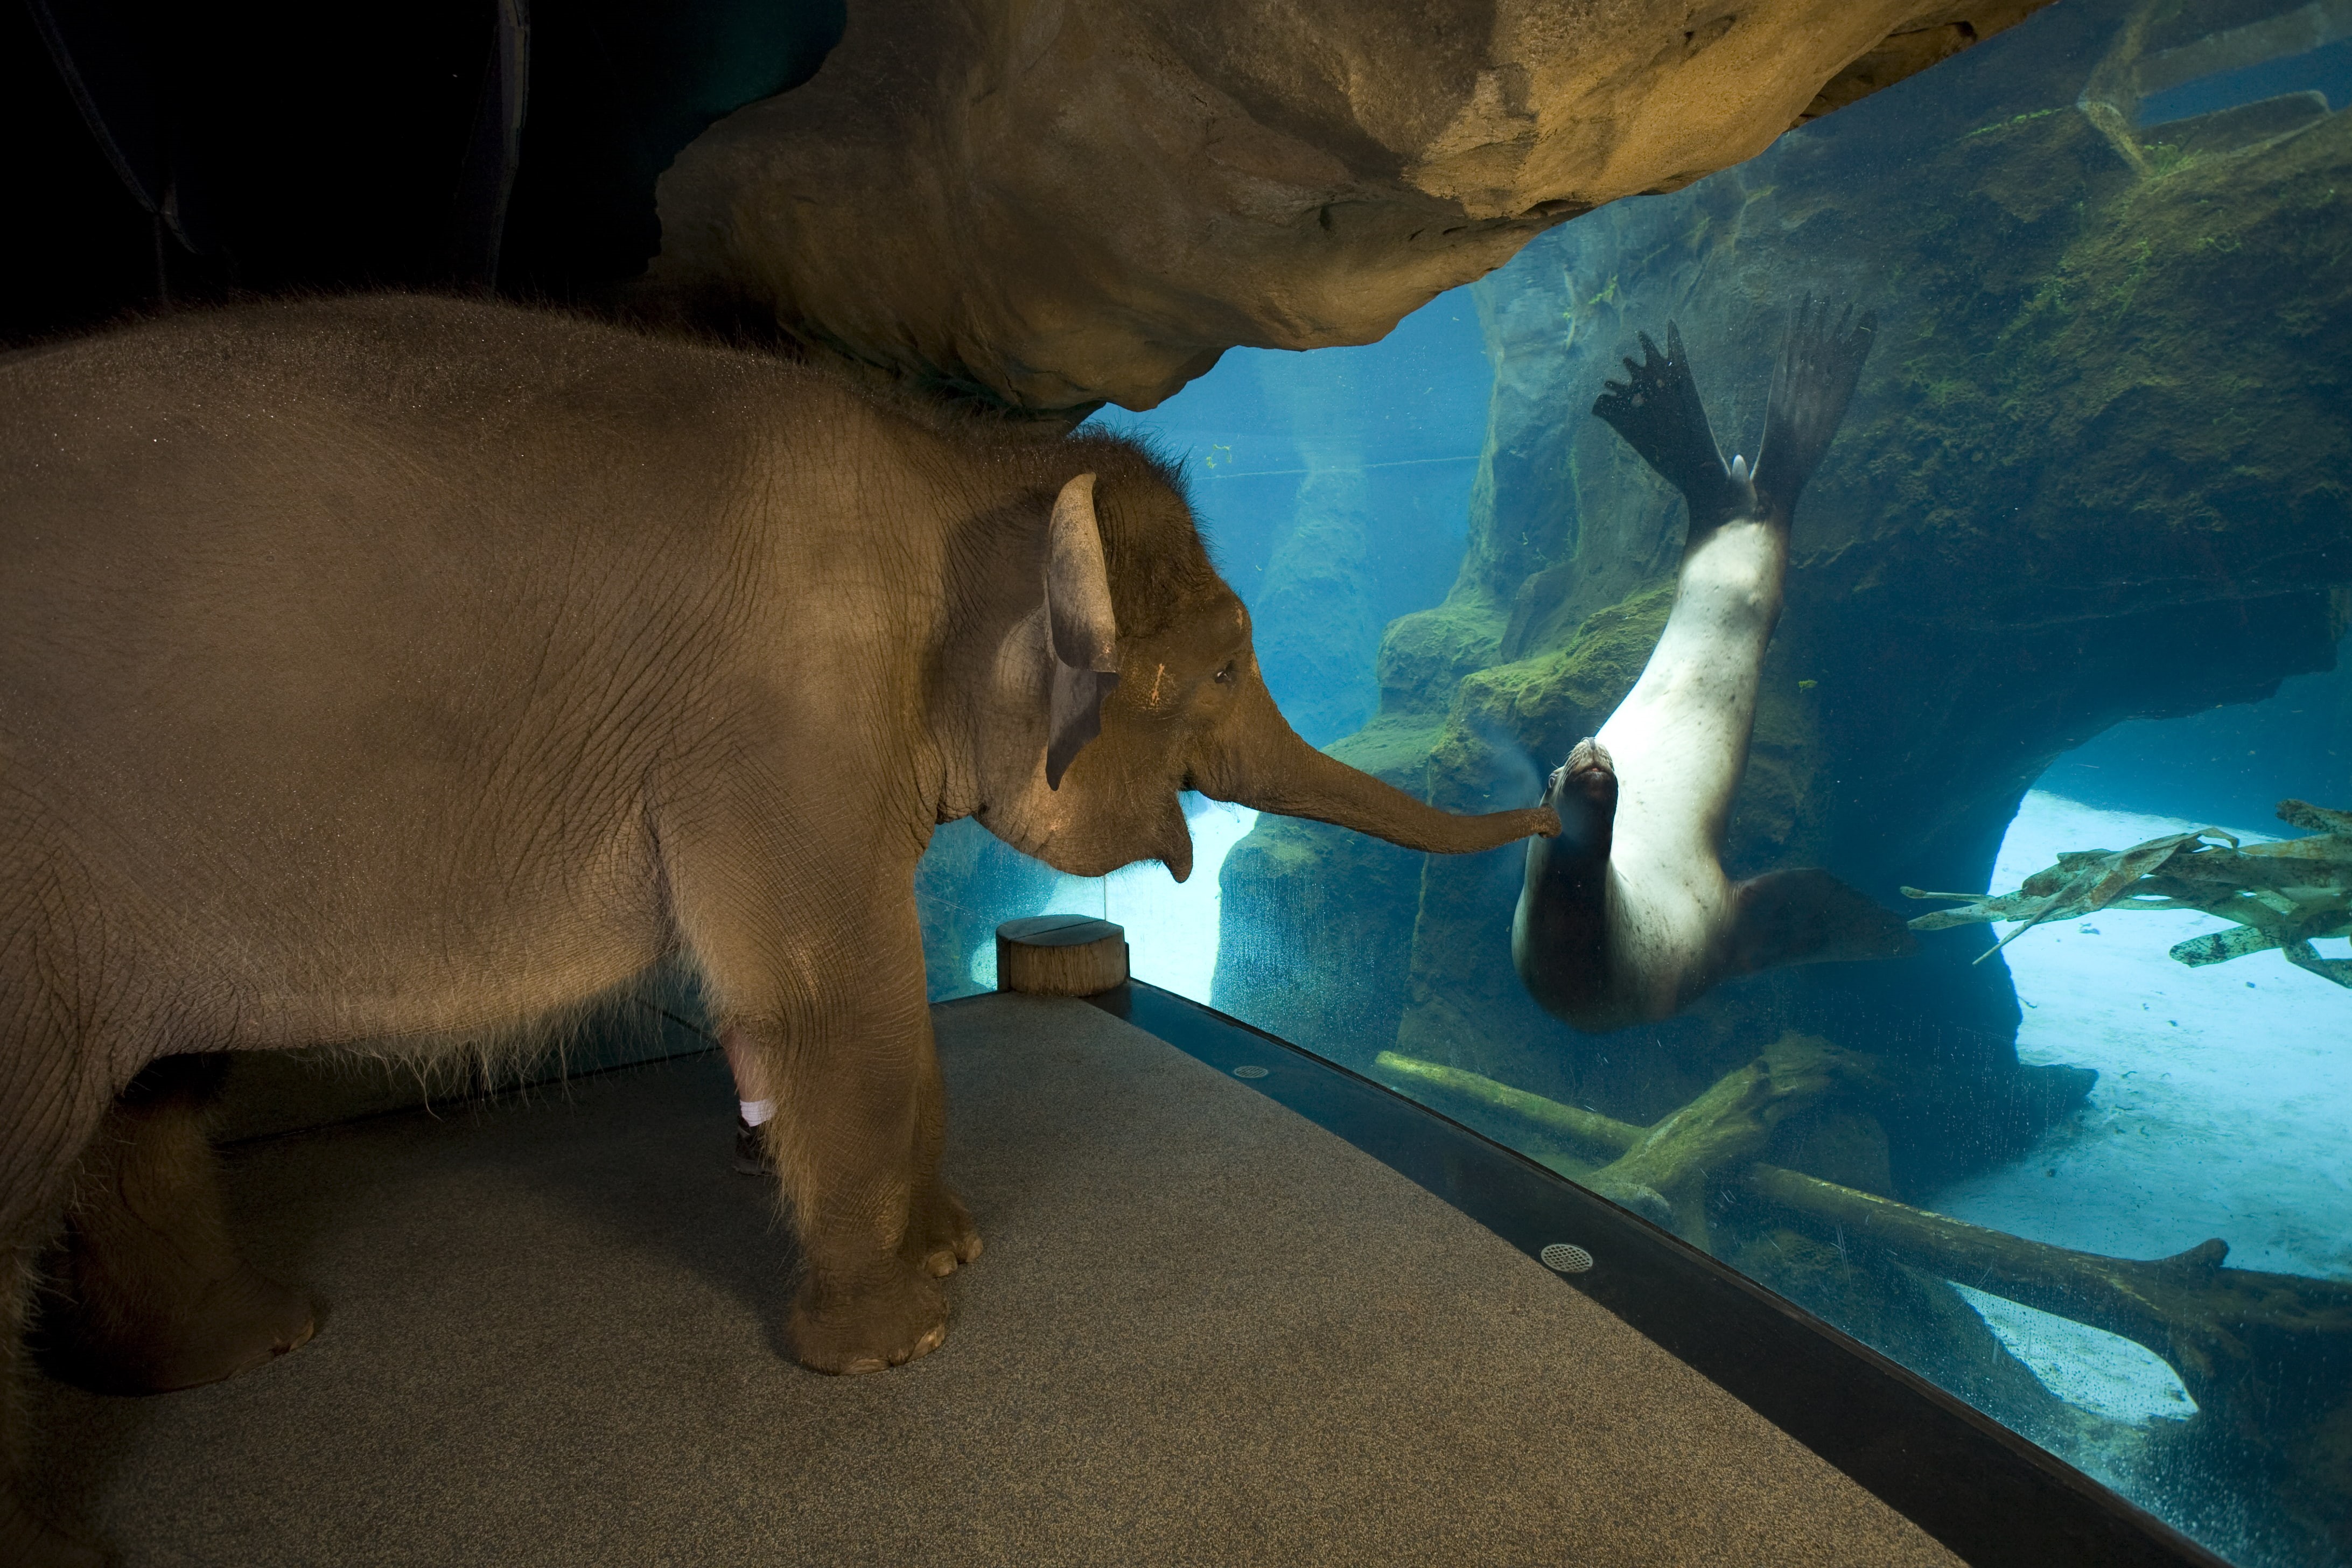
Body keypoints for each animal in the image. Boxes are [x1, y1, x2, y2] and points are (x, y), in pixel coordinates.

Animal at [0, 295, 1556, 1562]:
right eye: (1230, 665)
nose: (1562, 802)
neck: (955, 463)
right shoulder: (779, 714)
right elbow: (833, 999)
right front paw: (895, 1344)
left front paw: (950, 1250)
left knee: (148, 1099)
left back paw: (246, 1346)